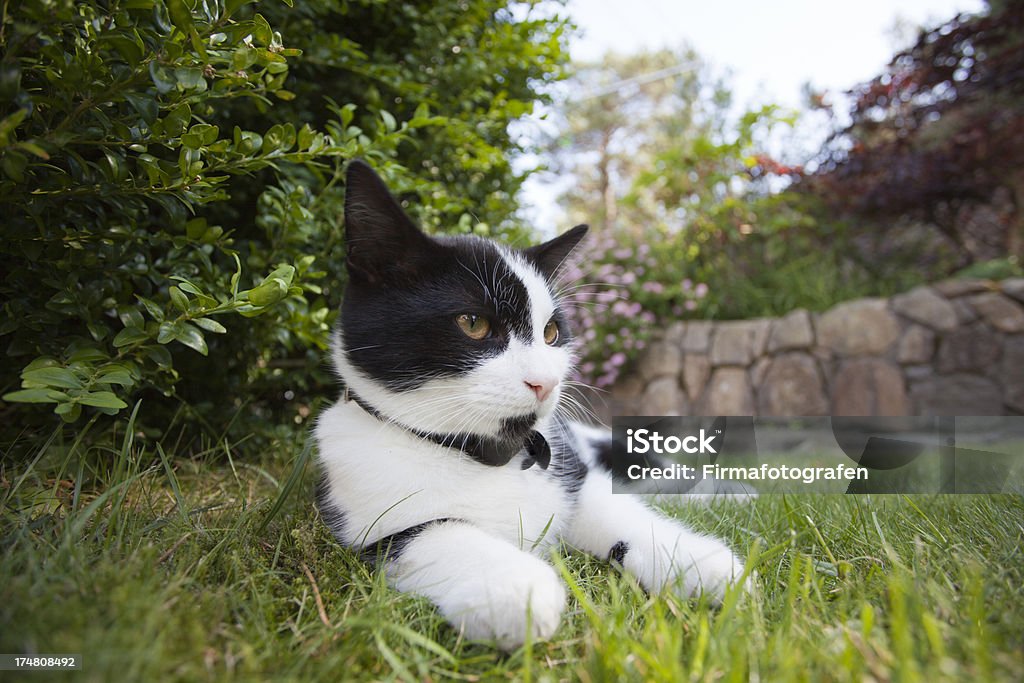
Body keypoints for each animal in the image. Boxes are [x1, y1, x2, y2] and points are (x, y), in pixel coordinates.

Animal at [315, 160, 749, 651]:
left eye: (552, 333)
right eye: (472, 322)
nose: (546, 381)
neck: (489, 456)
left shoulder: (572, 470)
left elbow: (613, 508)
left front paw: (696, 561)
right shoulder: (365, 513)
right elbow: (429, 534)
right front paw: (514, 589)